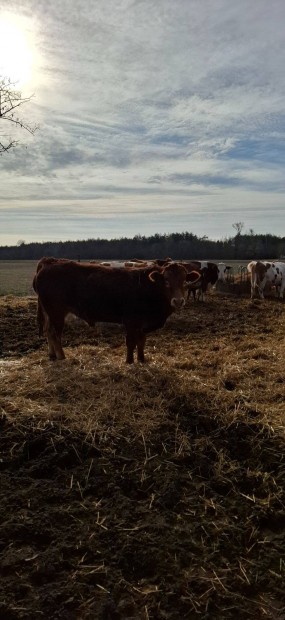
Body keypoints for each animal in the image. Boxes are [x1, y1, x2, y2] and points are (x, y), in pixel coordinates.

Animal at [32, 256, 199, 364]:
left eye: (185, 280)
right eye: (166, 280)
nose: (178, 301)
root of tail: (49, 261)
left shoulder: (142, 324)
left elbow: (141, 342)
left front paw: (142, 359)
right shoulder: (131, 321)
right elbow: (131, 342)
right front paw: (129, 361)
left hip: (49, 312)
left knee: (48, 331)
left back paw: (52, 355)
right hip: (56, 312)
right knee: (54, 333)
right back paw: (62, 357)